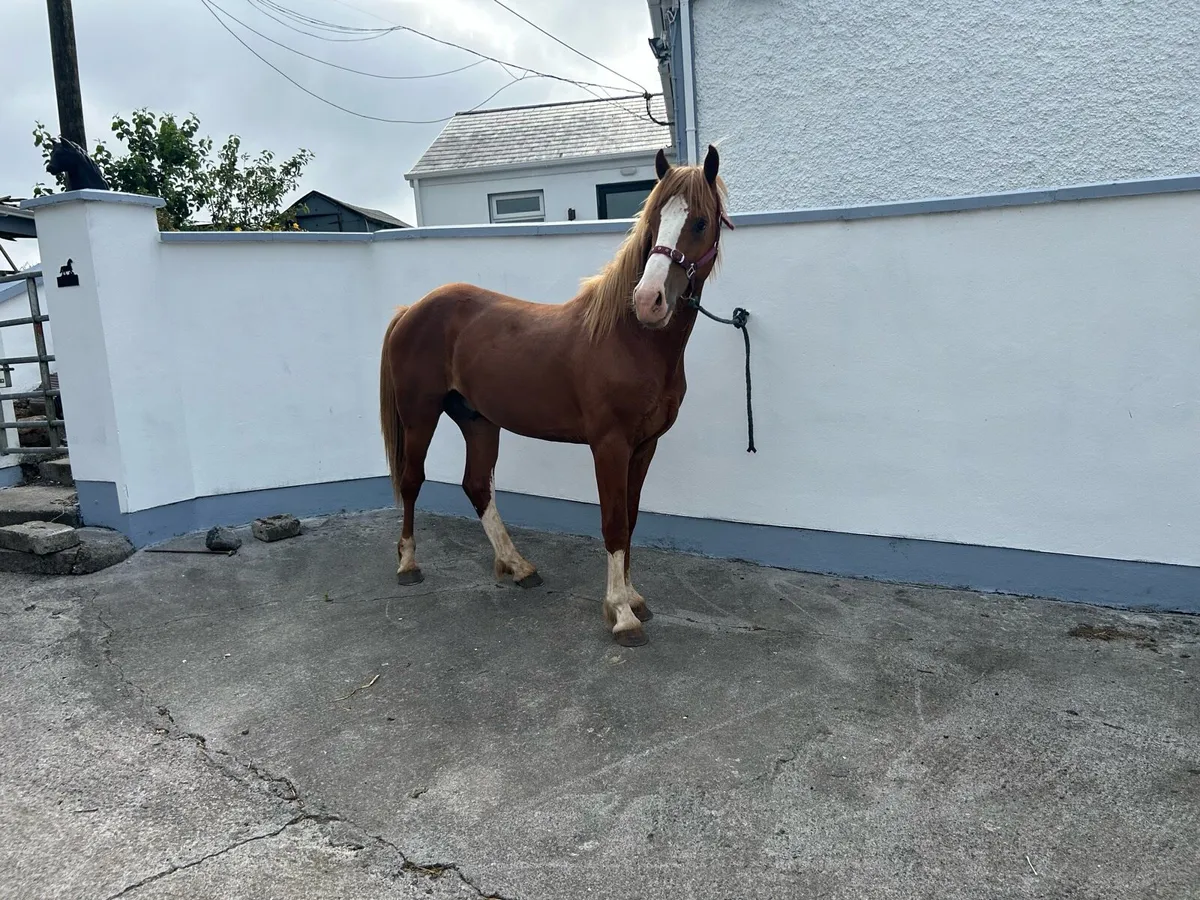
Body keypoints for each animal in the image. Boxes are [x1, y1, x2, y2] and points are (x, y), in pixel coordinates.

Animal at [379, 145, 731, 647]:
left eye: (700, 222)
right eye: (654, 217)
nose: (649, 301)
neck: (630, 339)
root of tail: (412, 309)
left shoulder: (645, 446)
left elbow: (632, 518)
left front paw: (634, 597)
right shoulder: (609, 446)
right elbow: (614, 522)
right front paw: (621, 613)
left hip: (478, 420)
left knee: (476, 486)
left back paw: (519, 566)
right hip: (419, 414)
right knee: (412, 481)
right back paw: (408, 564)